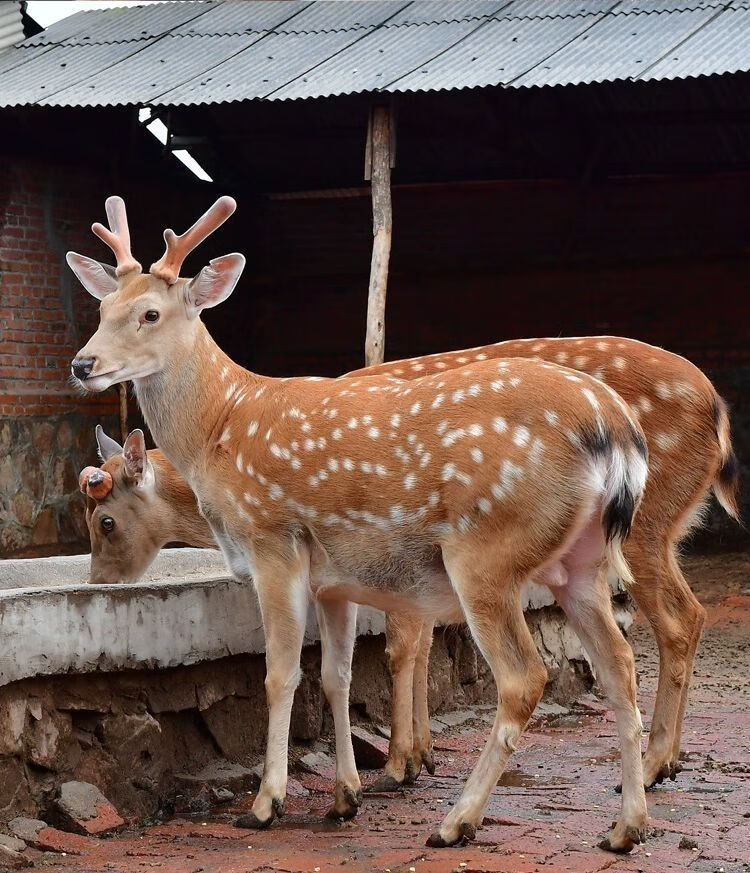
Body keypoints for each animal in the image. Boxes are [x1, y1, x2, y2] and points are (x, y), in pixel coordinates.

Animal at [70, 196, 652, 852]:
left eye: (150, 312)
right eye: (102, 308)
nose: (83, 364)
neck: (219, 428)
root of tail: (616, 430)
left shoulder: (273, 542)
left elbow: (280, 674)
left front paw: (266, 803)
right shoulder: (334, 580)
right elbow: (335, 677)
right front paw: (344, 799)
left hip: (488, 552)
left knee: (526, 677)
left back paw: (457, 821)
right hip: (581, 562)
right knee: (621, 665)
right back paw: (624, 827)